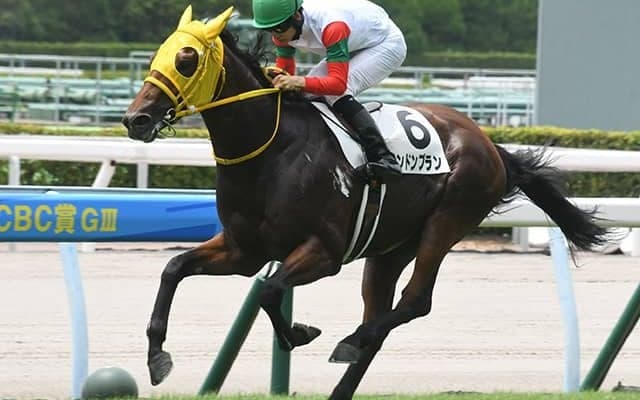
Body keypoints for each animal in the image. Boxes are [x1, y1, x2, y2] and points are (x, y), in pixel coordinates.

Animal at [122, 6, 607, 399]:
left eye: (187, 59)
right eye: (157, 55)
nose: (135, 119)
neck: (272, 150)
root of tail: (489, 143)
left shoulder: (325, 252)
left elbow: (271, 289)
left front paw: (300, 333)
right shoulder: (244, 250)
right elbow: (174, 268)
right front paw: (157, 358)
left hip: (448, 220)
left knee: (413, 303)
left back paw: (350, 340)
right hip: (390, 248)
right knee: (383, 316)